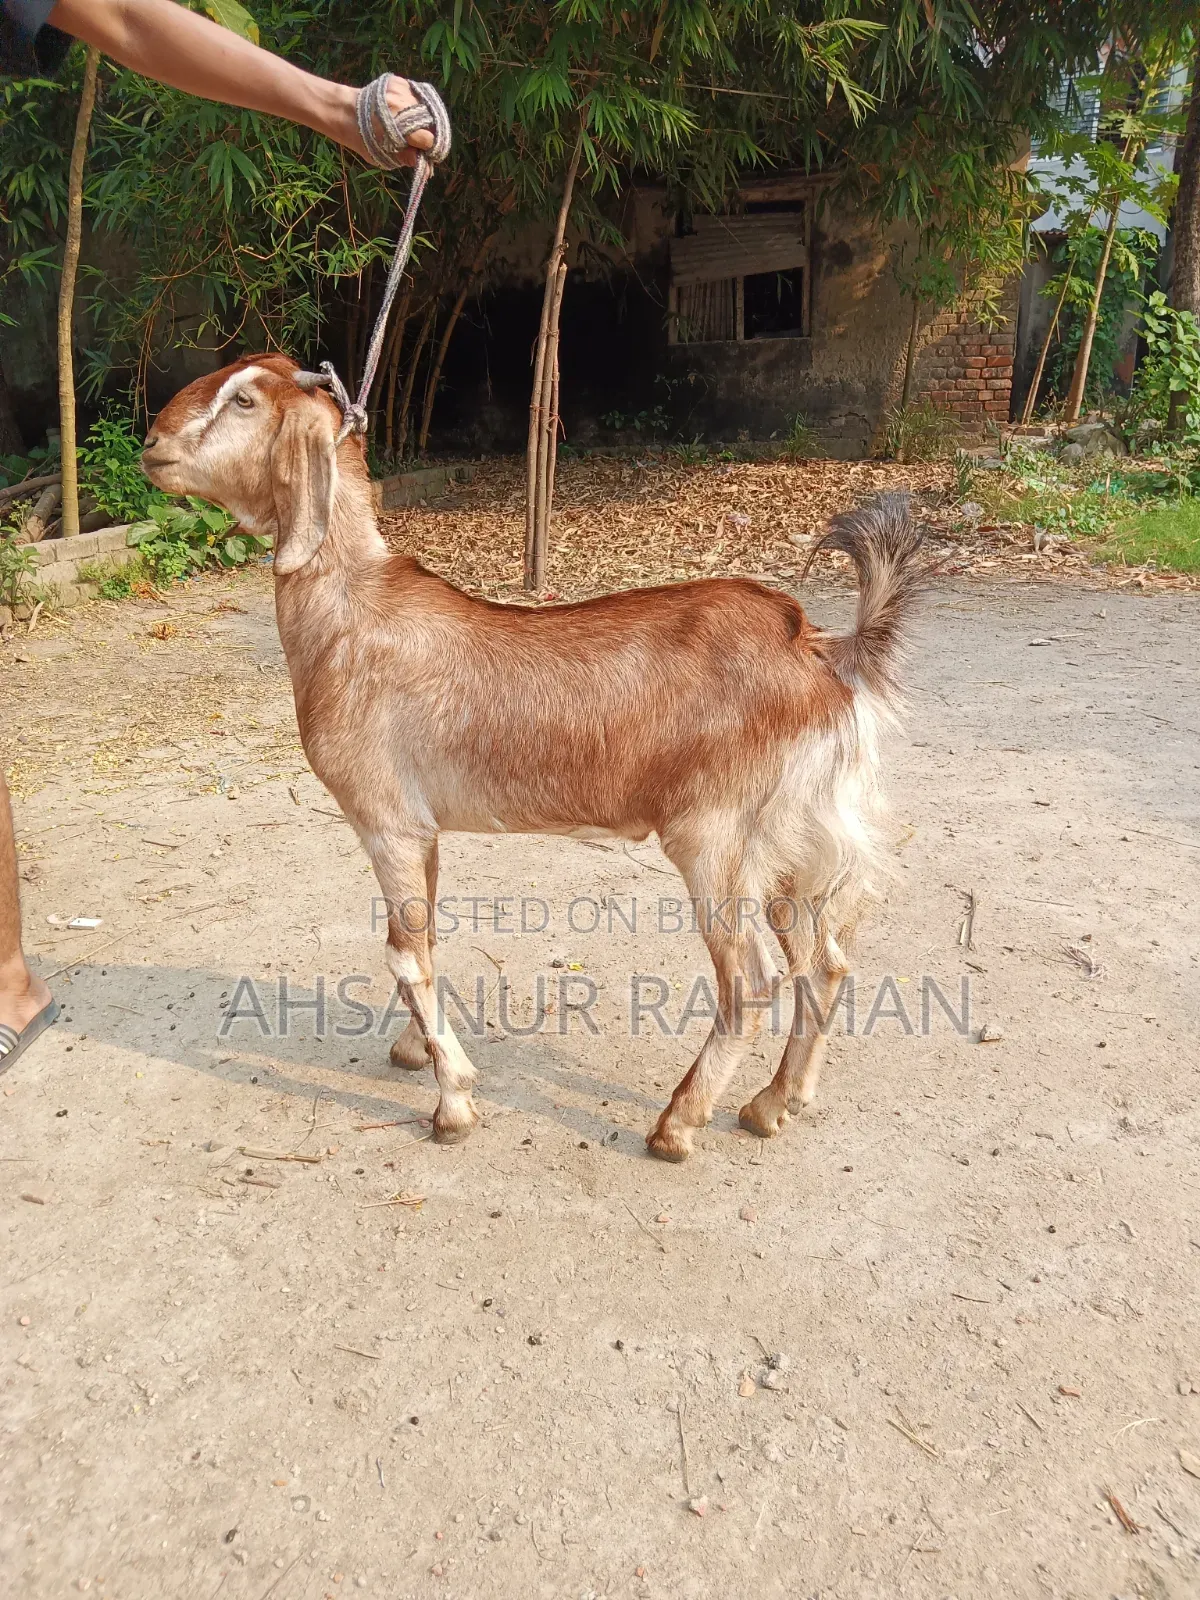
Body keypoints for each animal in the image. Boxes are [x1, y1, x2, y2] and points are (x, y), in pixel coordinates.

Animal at [142, 354, 923, 1162]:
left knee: (754, 979)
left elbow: (403, 955)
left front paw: (454, 1102)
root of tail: (820, 650)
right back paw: (775, 1103)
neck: (351, 613)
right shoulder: (425, 830)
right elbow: (425, 939)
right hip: (790, 839)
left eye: (244, 399)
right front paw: (415, 1052)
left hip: (716, 836)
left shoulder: (387, 821)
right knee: (823, 962)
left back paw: (678, 1125)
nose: (153, 444)